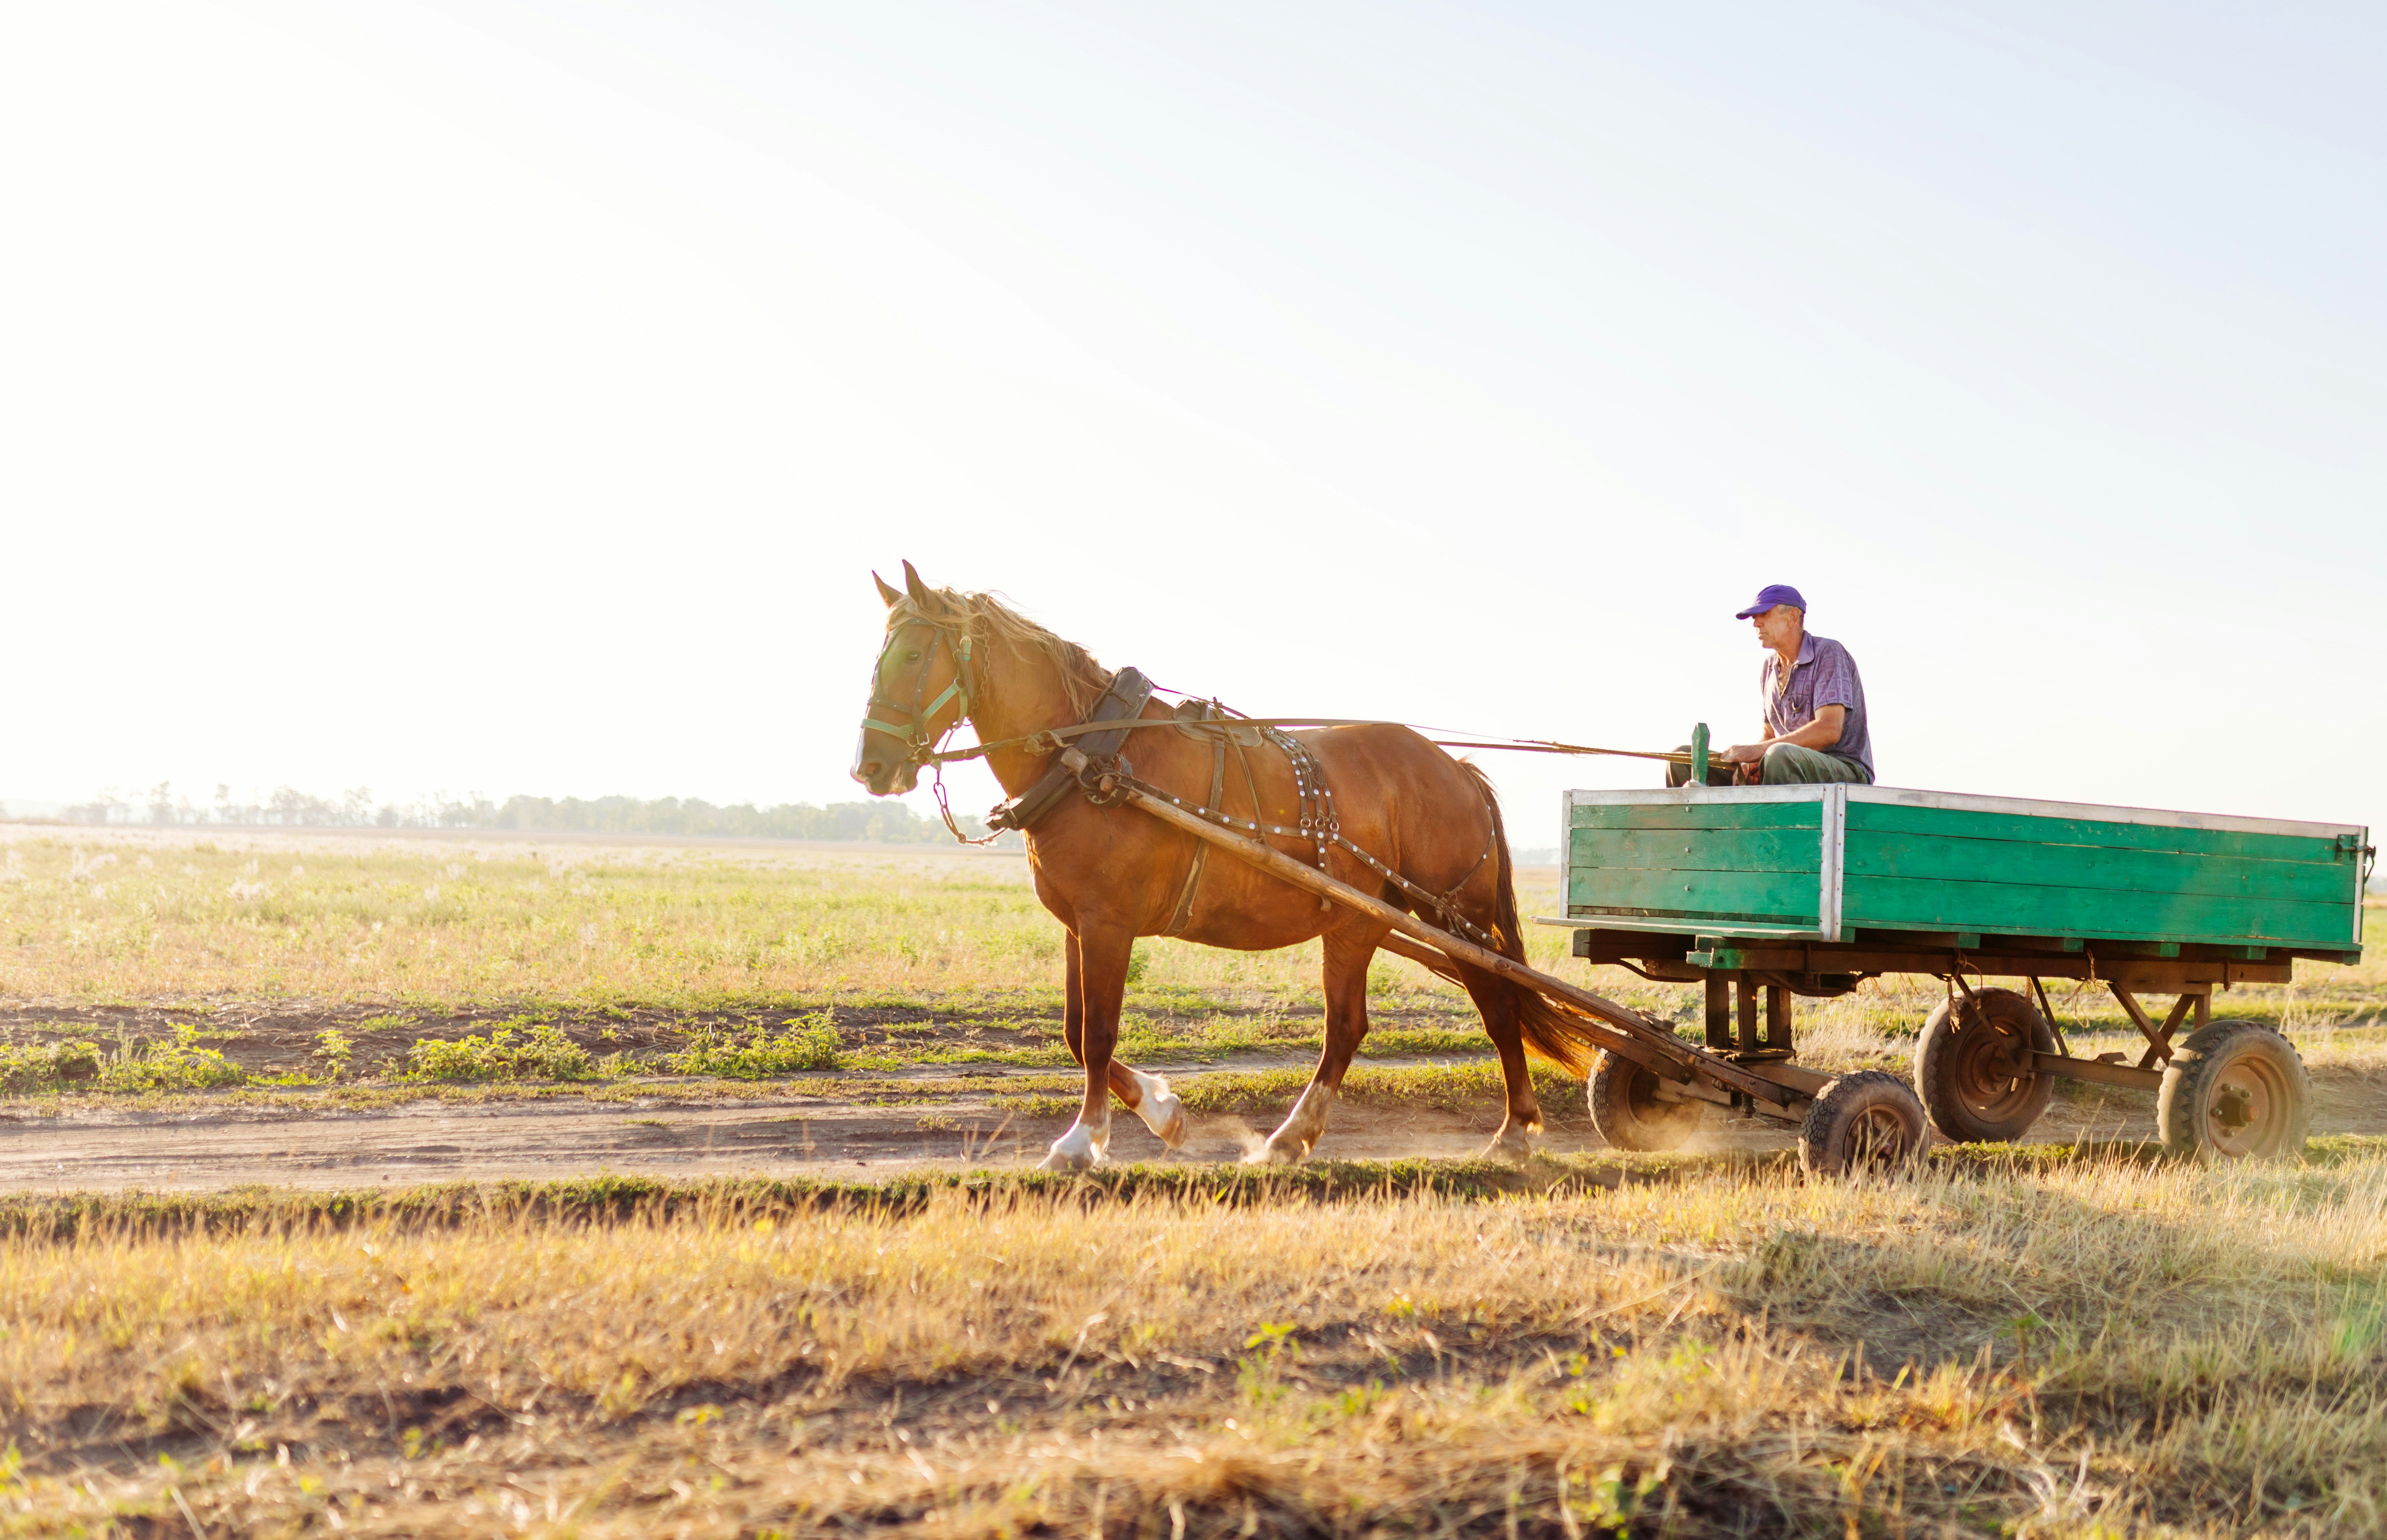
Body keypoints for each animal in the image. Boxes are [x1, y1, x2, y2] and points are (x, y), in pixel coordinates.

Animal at [850, 562, 1601, 1170]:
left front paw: (1082, 1141)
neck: (1093, 758)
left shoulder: (1108, 923)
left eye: (913, 653)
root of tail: (1454, 767)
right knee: (1413, 1018)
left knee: (1455, 1012)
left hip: (1436, 918)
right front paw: (1161, 1111)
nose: (870, 768)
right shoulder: (1076, 923)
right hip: (1384, 919)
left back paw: (1486, 1130)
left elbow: (1097, 1032)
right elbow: (1073, 1030)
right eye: (876, 658)